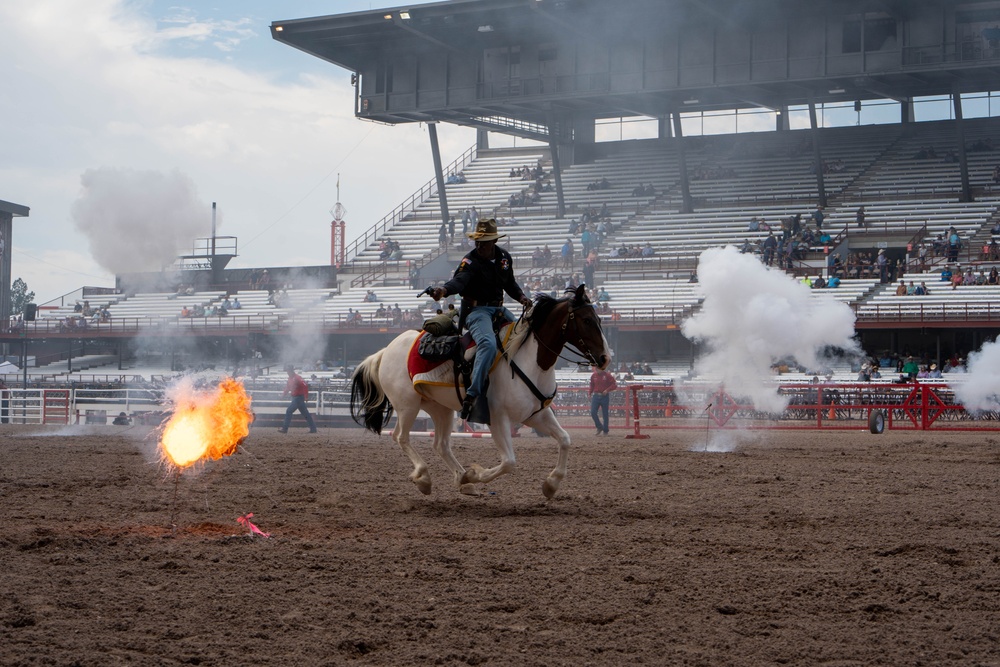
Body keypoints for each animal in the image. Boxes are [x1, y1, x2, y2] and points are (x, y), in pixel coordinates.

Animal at [352, 284, 608, 498]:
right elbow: (509, 462)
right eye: (586, 320)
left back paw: (462, 480)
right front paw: (475, 474)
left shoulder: (536, 415)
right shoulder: (497, 418)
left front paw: (551, 484)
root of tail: (385, 351)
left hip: (440, 408)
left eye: (598, 319)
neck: (526, 360)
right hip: (408, 406)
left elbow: (565, 440)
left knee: (440, 445)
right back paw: (425, 478)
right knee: (401, 437)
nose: (605, 358)